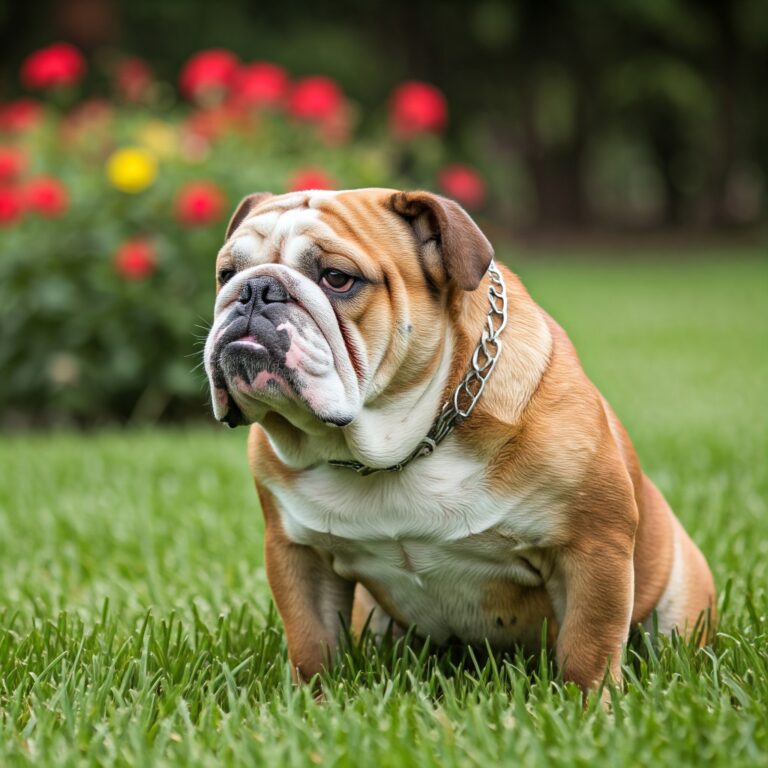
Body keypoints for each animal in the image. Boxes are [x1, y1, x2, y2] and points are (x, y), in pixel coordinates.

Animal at [202, 188, 712, 696]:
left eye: (337, 279)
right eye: (226, 273)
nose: (254, 290)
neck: (398, 447)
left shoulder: (592, 547)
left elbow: (589, 648)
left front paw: (589, 707)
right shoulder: (298, 553)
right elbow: (311, 643)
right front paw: (314, 701)